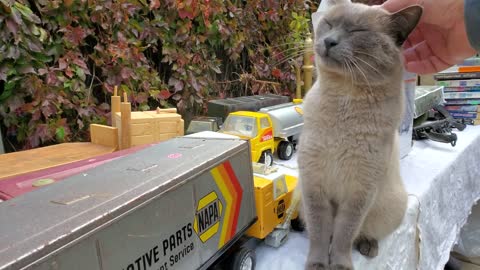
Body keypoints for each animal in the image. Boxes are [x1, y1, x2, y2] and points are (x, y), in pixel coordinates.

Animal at [298, 1, 422, 268]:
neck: (345, 97)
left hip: (391, 206)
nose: (329, 41)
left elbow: (344, 234)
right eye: (329, 24)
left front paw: (339, 265)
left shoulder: (359, 192)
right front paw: (318, 264)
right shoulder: (314, 185)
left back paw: (368, 248)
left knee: (362, 233)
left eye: (358, 32)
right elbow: (320, 233)